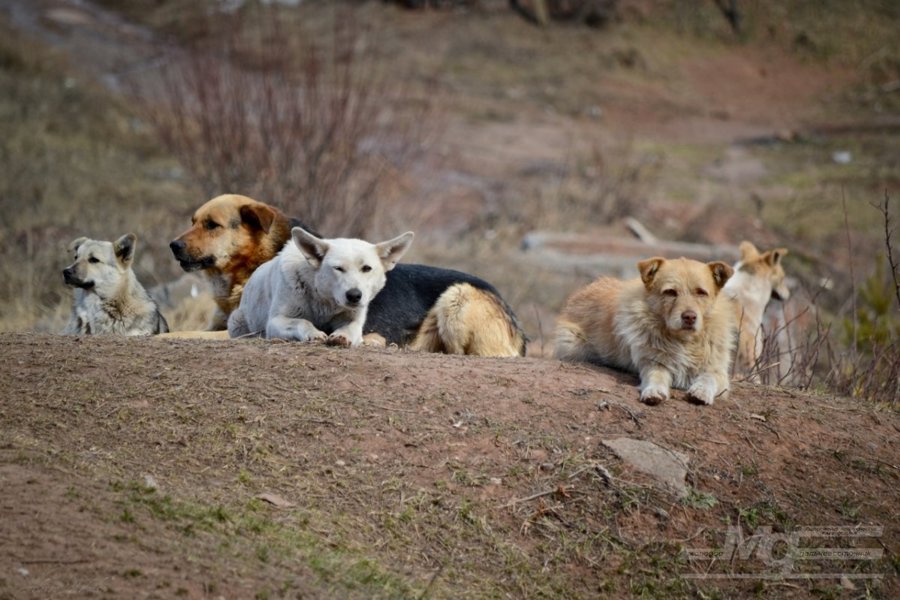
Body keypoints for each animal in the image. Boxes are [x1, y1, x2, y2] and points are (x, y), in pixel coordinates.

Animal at [230, 226, 416, 346]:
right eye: (338, 268)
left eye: (366, 268)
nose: (354, 295)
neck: (323, 301)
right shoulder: (276, 321)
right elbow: (302, 322)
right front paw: (314, 334)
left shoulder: (353, 320)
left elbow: (350, 329)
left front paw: (341, 337)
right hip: (236, 321)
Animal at [556, 255, 740, 406]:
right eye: (670, 292)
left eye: (701, 292)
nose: (689, 317)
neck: (684, 340)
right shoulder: (652, 362)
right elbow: (655, 376)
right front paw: (653, 391)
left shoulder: (718, 371)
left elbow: (709, 378)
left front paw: (701, 392)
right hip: (571, 344)